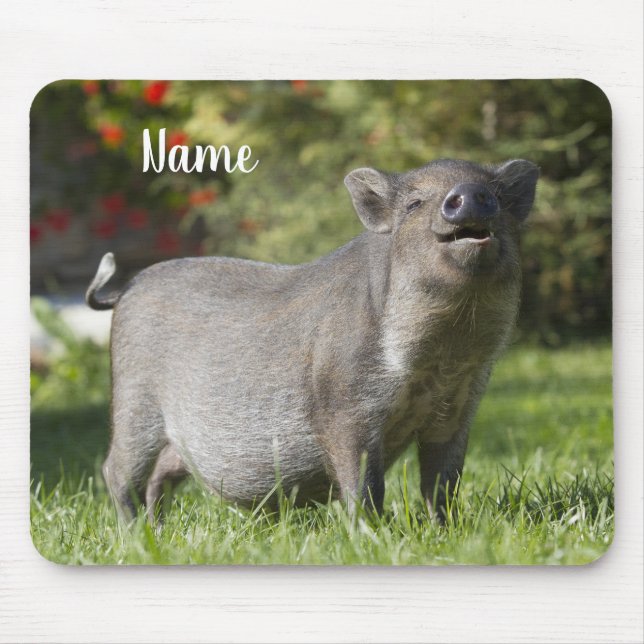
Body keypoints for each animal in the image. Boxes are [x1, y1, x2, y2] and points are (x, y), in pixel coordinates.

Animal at [86, 158, 538, 523]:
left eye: (496, 194)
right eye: (414, 204)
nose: (470, 194)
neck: (441, 358)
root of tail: (126, 289)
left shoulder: (458, 408)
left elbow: (442, 483)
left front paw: (445, 531)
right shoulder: (344, 407)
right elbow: (364, 485)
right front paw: (372, 535)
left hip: (172, 439)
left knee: (159, 476)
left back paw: (158, 530)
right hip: (134, 401)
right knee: (116, 470)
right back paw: (135, 533)